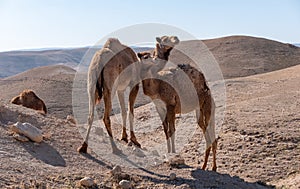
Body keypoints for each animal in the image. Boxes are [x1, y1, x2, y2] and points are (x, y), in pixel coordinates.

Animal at [137, 36, 217, 171]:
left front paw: (173, 153)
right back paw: (206, 166)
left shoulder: (171, 105)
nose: (176, 39)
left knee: (211, 135)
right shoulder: (160, 108)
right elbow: (166, 131)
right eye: (146, 56)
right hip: (199, 111)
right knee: (208, 133)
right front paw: (168, 152)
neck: (157, 85)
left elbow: (172, 130)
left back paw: (212, 167)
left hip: (207, 106)